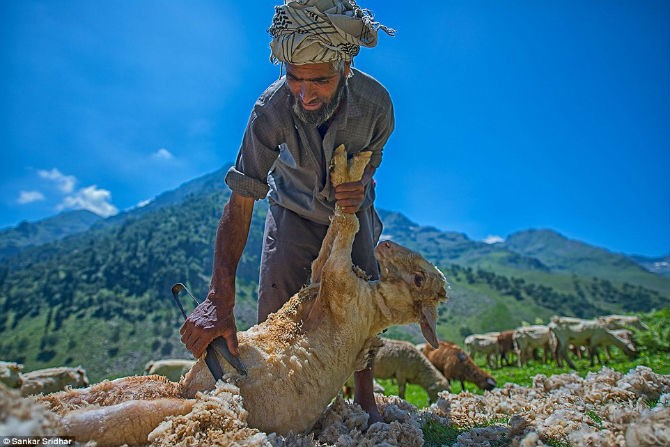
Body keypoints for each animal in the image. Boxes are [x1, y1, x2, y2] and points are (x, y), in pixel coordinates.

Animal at [34, 145, 448, 446]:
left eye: (418, 279)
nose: (386, 244)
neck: (373, 300)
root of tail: (187, 391)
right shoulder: (323, 275)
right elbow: (332, 235)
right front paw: (348, 164)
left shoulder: (341, 288)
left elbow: (347, 225)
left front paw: (351, 168)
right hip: (143, 385)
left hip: (155, 410)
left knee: (85, 420)